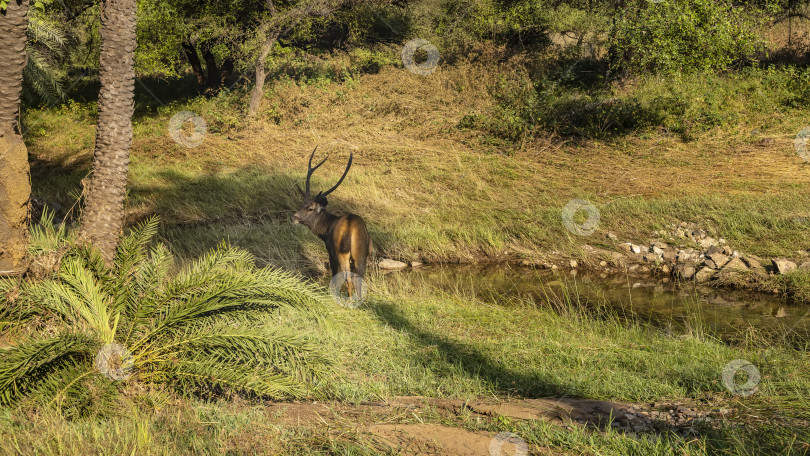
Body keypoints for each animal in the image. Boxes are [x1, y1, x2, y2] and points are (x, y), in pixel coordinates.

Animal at [292, 146, 370, 298]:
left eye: (310, 208)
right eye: (302, 204)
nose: (294, 217)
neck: (325, 230)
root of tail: (351, 225)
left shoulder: (330, 250)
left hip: (342, 253)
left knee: (348, 280)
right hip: (361, 255)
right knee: (358, 280)